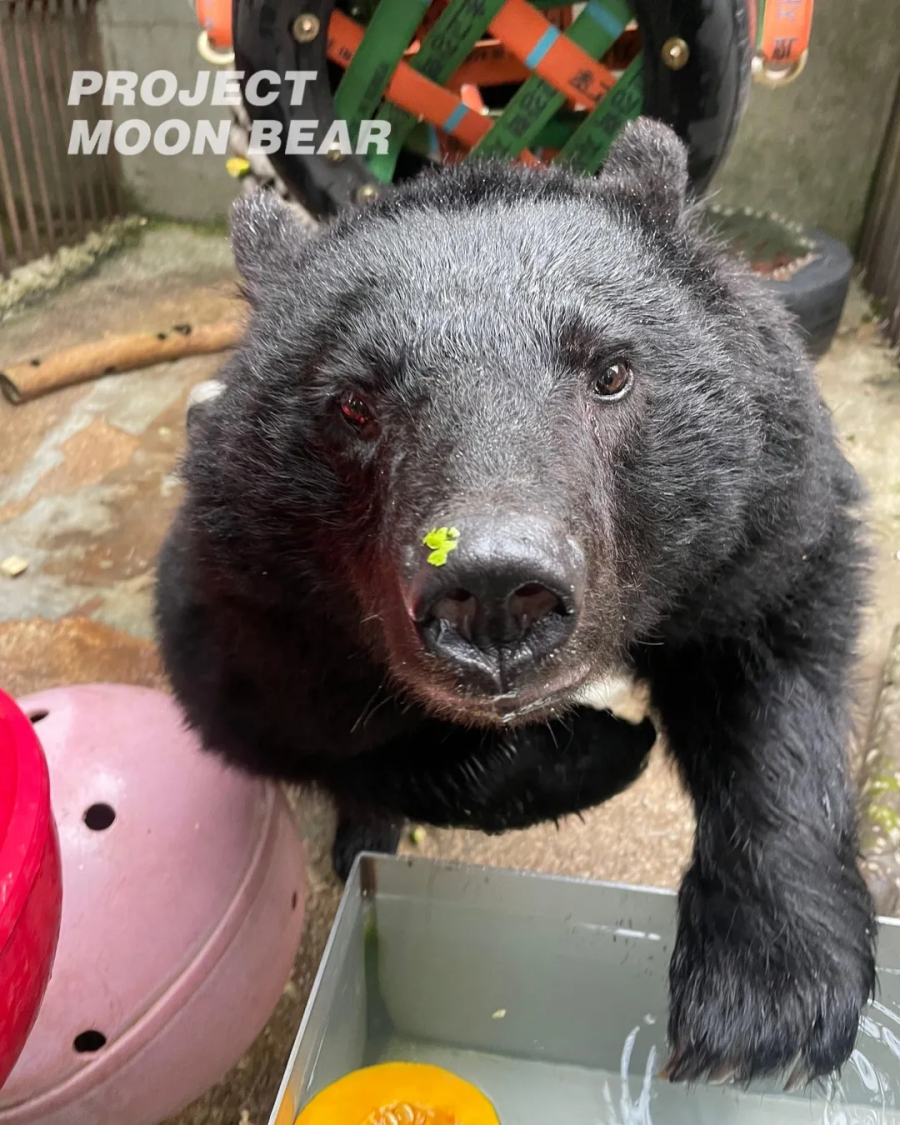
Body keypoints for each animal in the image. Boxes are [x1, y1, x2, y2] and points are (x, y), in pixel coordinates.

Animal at [155, 118, 876, 1088]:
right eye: (353, 403)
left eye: (612, 371)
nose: (495, 592)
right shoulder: (251, 591)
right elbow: (282, 719)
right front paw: (595, 750)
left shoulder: (760, 500)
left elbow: (777, 640)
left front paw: (768, 993)